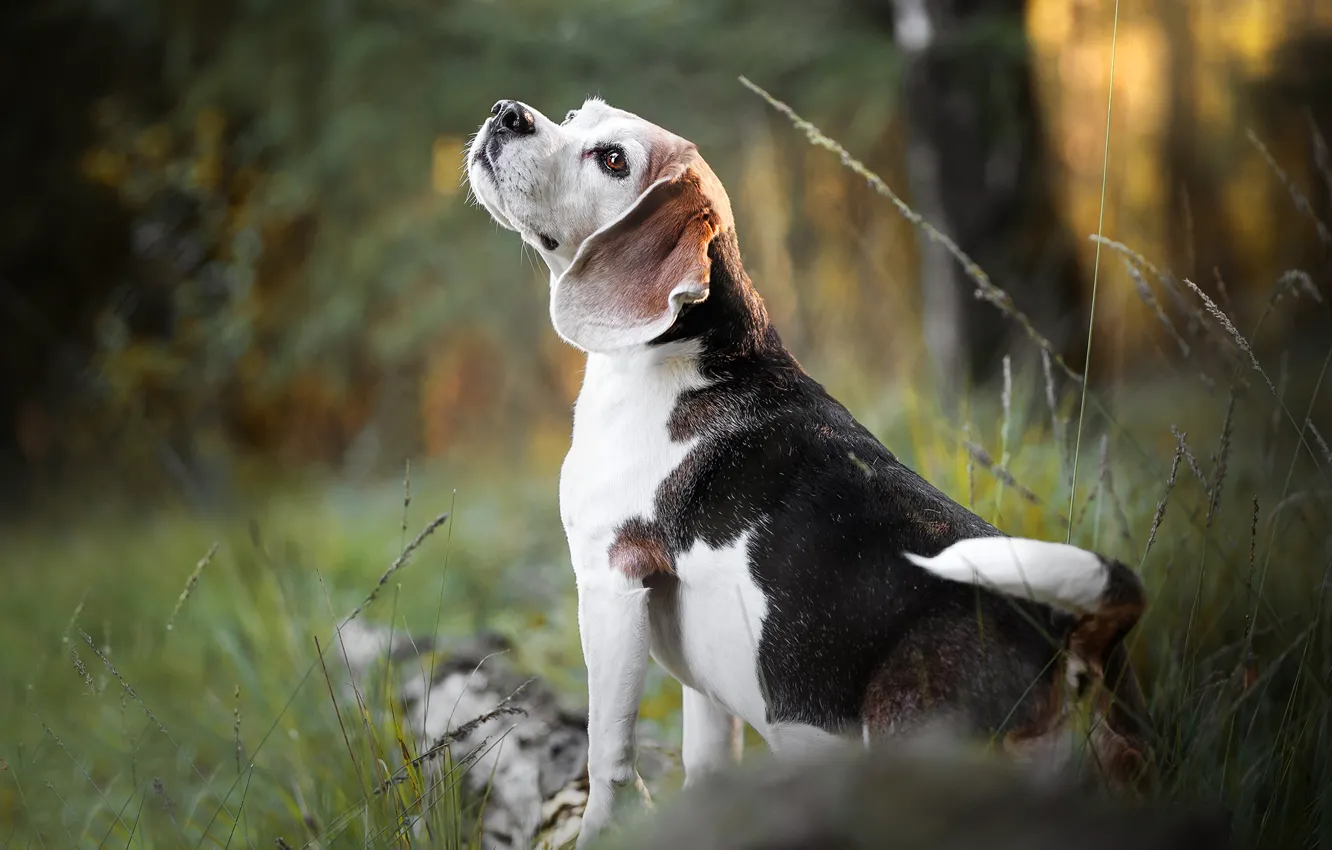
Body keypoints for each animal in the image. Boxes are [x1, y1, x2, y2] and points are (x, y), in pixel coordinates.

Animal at [463, 98, 1150, 847]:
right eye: (574, 116)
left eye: (613, 159)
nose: (506, 113)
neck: (684, 352)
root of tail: (1070, 644)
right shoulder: (705, 687)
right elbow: (707, 762)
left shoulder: (610, 584)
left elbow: (607, 756)